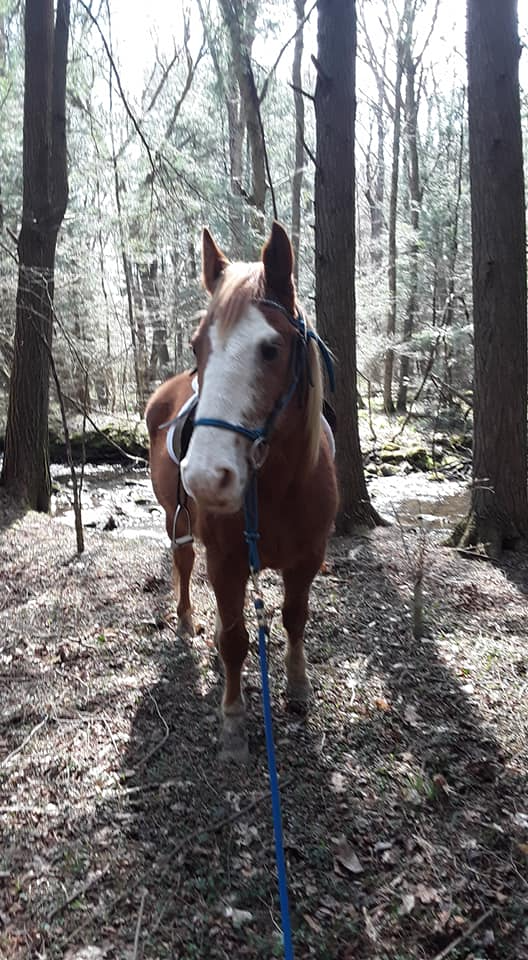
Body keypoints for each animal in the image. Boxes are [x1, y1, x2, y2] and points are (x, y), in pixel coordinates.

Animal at [146, 222, 338, 761]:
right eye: (197, 347)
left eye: (270, 348)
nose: (207, 477)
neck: (277, 490)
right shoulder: (227, 560)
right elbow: (236, 640)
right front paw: (233, 720)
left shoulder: (308, 558)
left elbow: (295, 618)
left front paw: (298, 687)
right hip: (177, 522)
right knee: (184, 566)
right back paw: (188, 623)